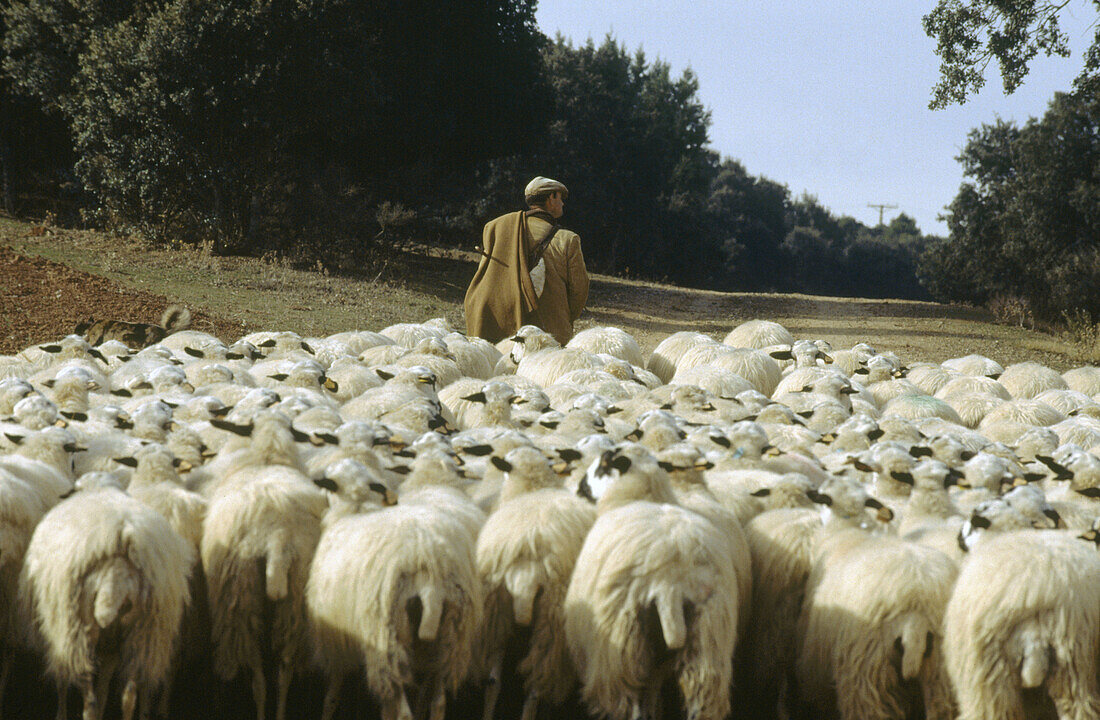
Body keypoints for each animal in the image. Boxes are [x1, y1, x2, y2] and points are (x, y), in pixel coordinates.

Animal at [20, 472, 192, 720]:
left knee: (88, 699)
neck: (101, 487)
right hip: (144, 631)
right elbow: (104, 688)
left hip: (78, 627)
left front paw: (61, 713)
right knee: (129, 694)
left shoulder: (59, 630)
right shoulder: (110, 644)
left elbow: (64, 680)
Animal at [305, 459, 477, 720]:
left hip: (387, 641)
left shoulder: (335, 640)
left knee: (403, 712)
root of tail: (430, 566)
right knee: (438, 702)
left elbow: (332, 695)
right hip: (450, 640)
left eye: (328, 477)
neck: (355, 508)